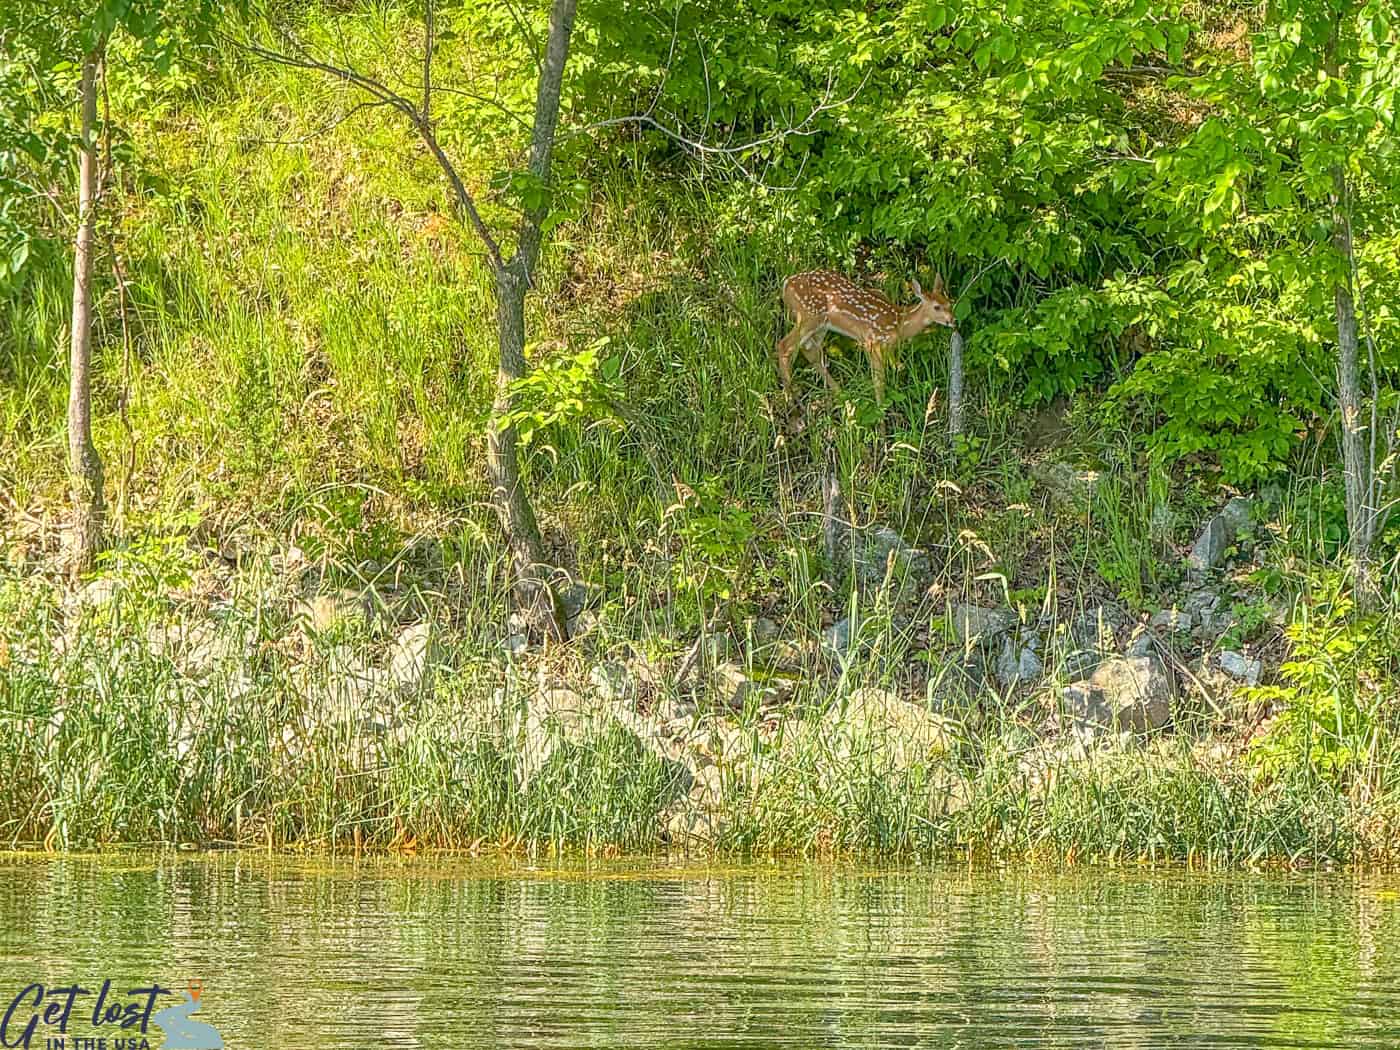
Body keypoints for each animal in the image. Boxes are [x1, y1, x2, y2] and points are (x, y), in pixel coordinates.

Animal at [776, 270, 956, 403]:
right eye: (937, 307)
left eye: (950, 303)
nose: (953, 320)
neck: (898, 322)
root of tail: (786, 285)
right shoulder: (872, 341)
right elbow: (879, 382)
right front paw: (881, 416)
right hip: (808, 316)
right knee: (784, 345)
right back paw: (790, 396)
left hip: (821, 325)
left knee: (810, 351)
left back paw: (840, 393)